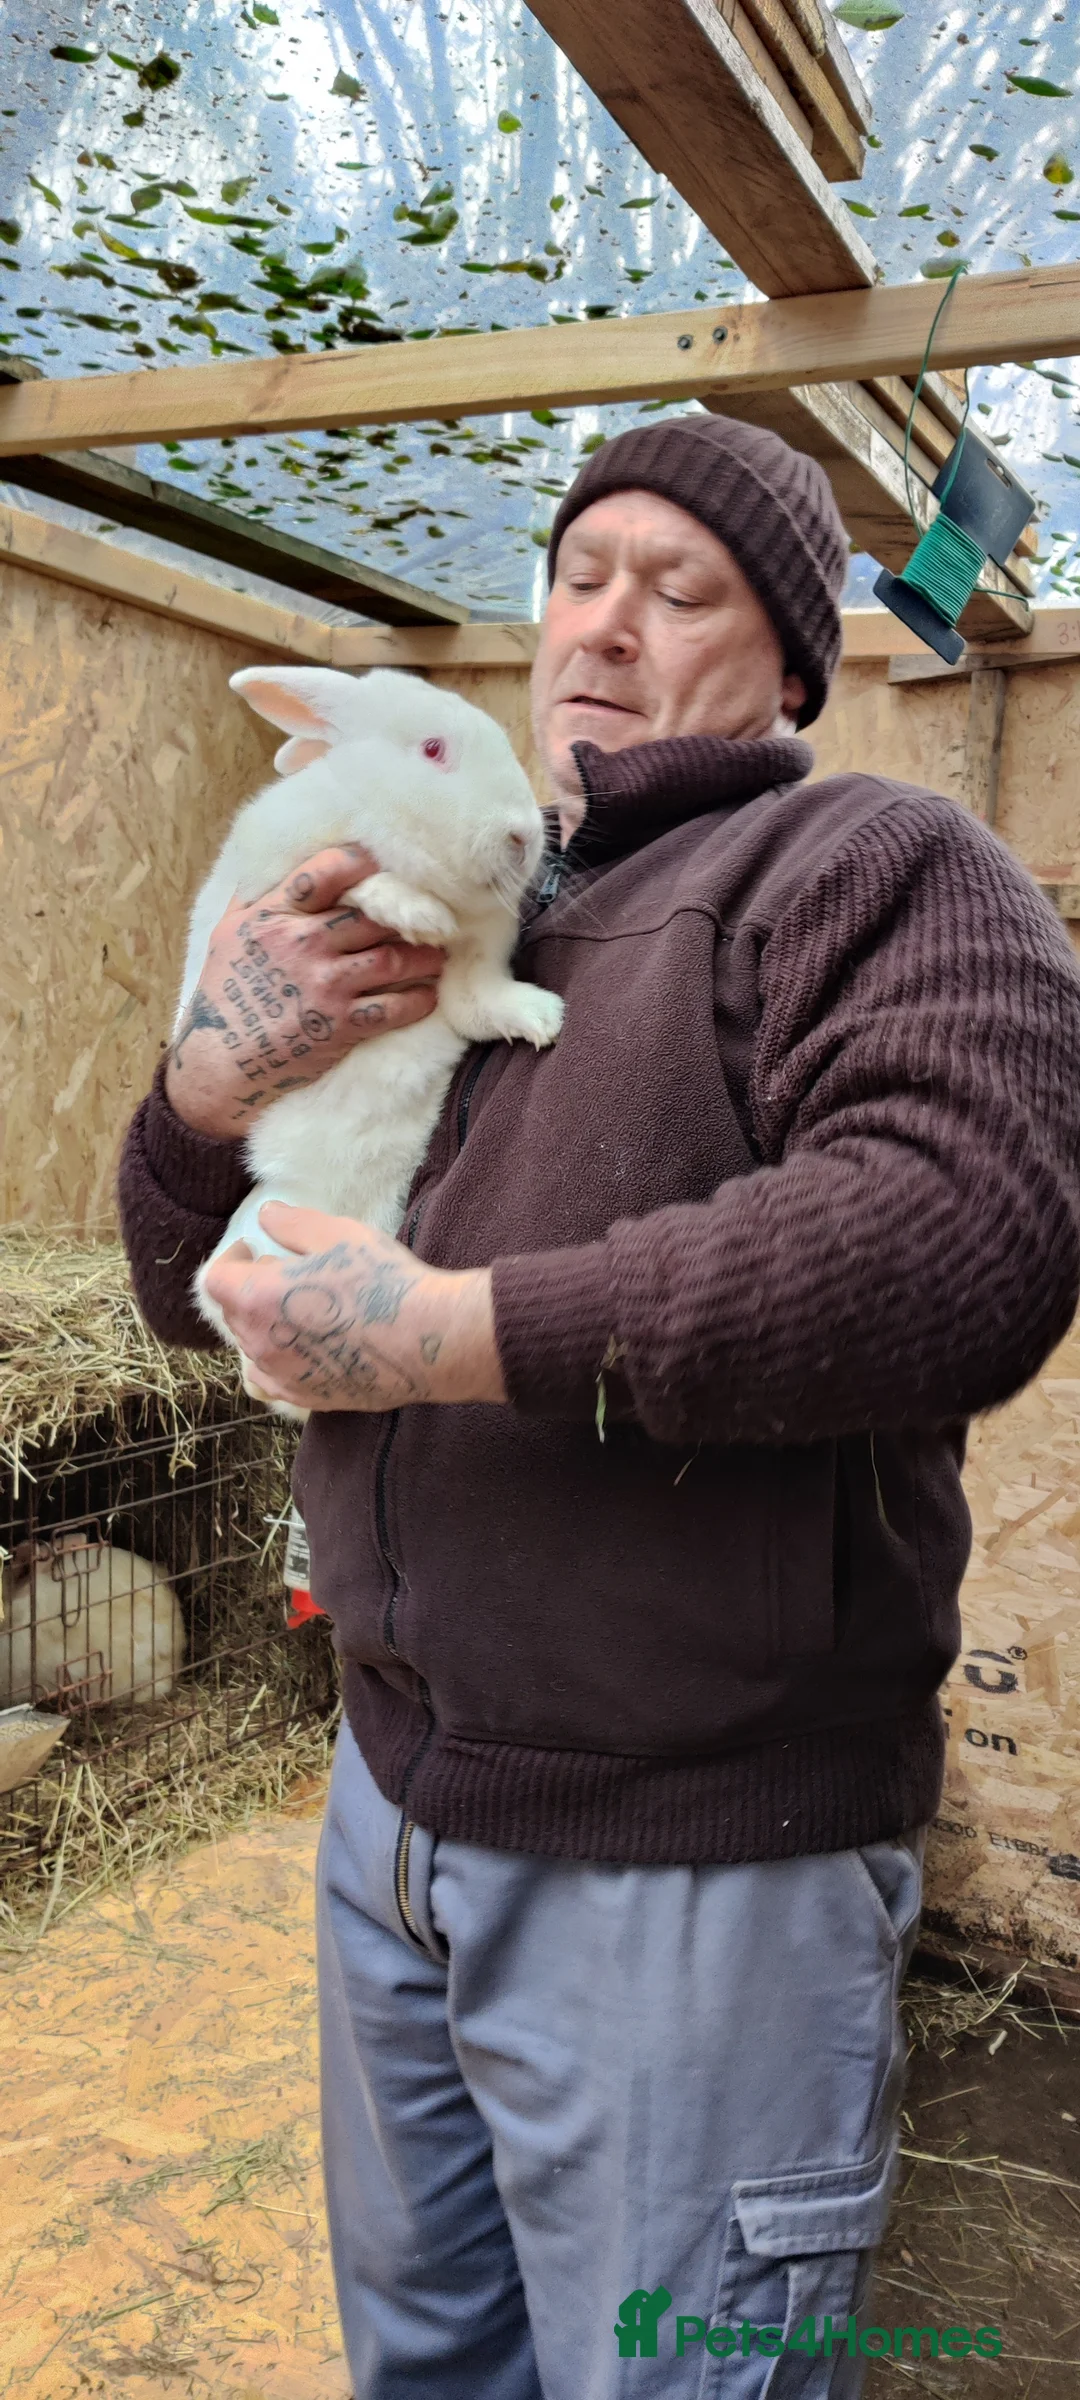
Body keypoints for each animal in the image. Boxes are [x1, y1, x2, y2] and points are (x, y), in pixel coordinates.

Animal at [177, 667, 563, 1406]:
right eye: (434, 749)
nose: (525, 836)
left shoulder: (475, 965)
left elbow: (478, 997)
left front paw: (540, 1017)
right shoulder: (291, 875)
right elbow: (362, 883)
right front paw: (417, 913)